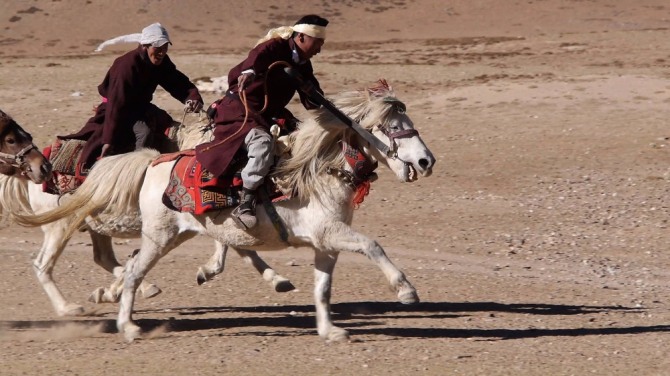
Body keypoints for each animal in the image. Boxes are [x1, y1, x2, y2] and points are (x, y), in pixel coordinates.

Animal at [0, 112, 294, 318]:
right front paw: (208, 272)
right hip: (60, 226)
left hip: (95, 226)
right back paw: (70, 308)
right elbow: (230, 249)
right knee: (43, 264)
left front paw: (279, 281)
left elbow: (242, 250)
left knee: (103, 257)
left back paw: (135, 288)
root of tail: (36, 172)